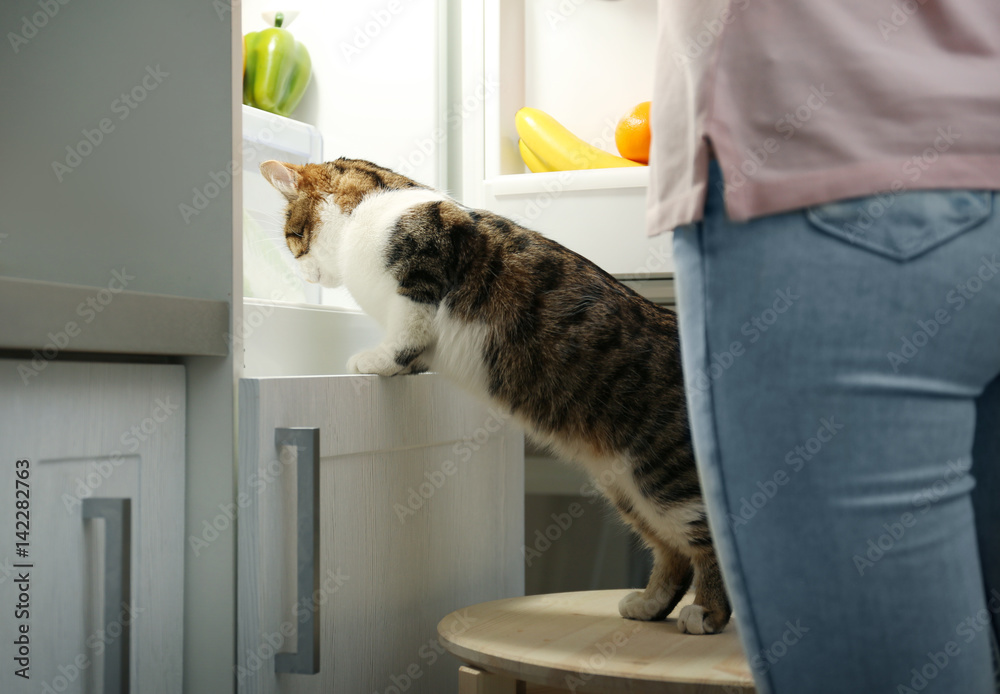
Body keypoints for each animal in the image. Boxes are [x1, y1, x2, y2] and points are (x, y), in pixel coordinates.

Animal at [262, 156, 732, 636]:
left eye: (292, 237)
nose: (302, 270)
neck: (371, 207)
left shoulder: (420, 276)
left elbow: (405, 336)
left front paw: (376, 360)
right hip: (626, 487)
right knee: (673, 552)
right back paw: (650, 603)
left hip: (666, 478)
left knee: (710, 542)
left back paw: (707, 612)